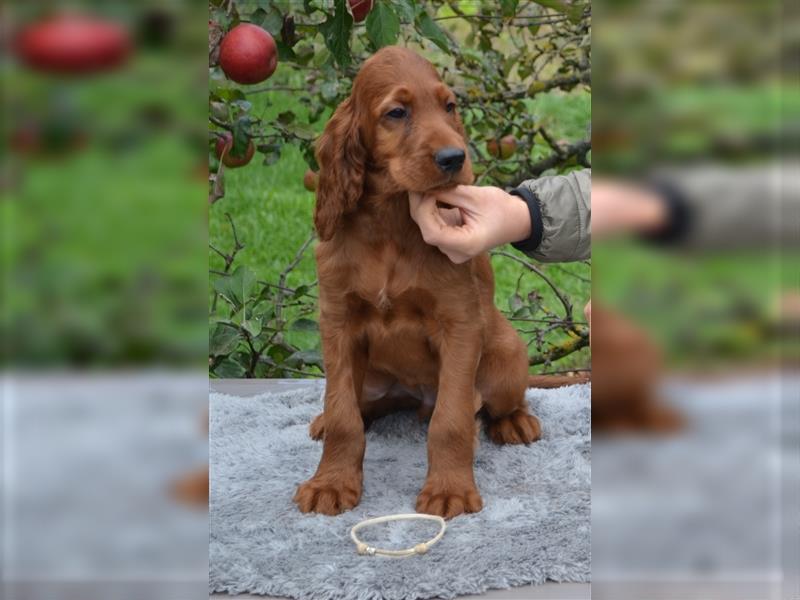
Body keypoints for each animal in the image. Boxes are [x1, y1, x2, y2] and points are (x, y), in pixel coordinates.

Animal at [292, 47, 556, 516]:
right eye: (397, 113)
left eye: (449, 106)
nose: (454, 158)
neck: (391, 225)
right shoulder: (337, 321)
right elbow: (343, 414)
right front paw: (331, 482)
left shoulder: (459, 322)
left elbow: (450, 420)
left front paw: (449, 490)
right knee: (358, 409)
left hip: (507, 358)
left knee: (493, 404)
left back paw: (515, 422)